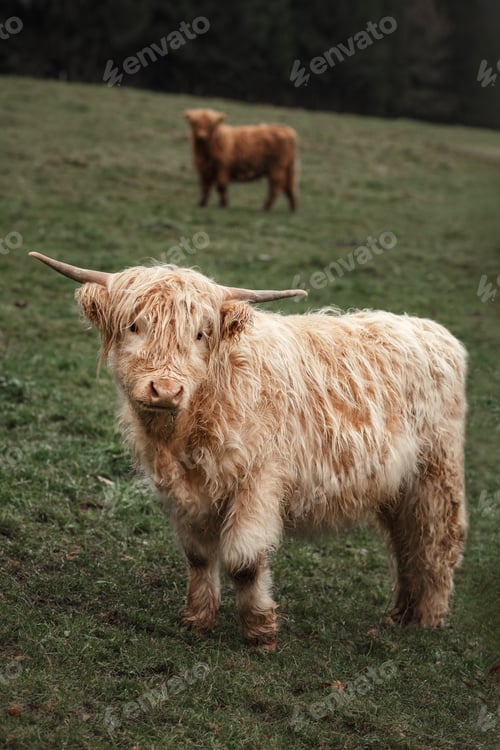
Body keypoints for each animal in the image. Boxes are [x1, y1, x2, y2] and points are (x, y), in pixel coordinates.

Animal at [30, 252, 467, 651]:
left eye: (201, 334)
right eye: (134, 325)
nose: (166, 390)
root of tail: (429, 329)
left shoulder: (260, 480)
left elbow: (244, 561)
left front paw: (261, 631)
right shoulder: (183, 493)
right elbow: (198, 556)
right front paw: (197, 620)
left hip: (436, 472)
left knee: (436, 540)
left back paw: (429, 619)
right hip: (398, 486)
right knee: (406, 543)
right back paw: (399, 614)